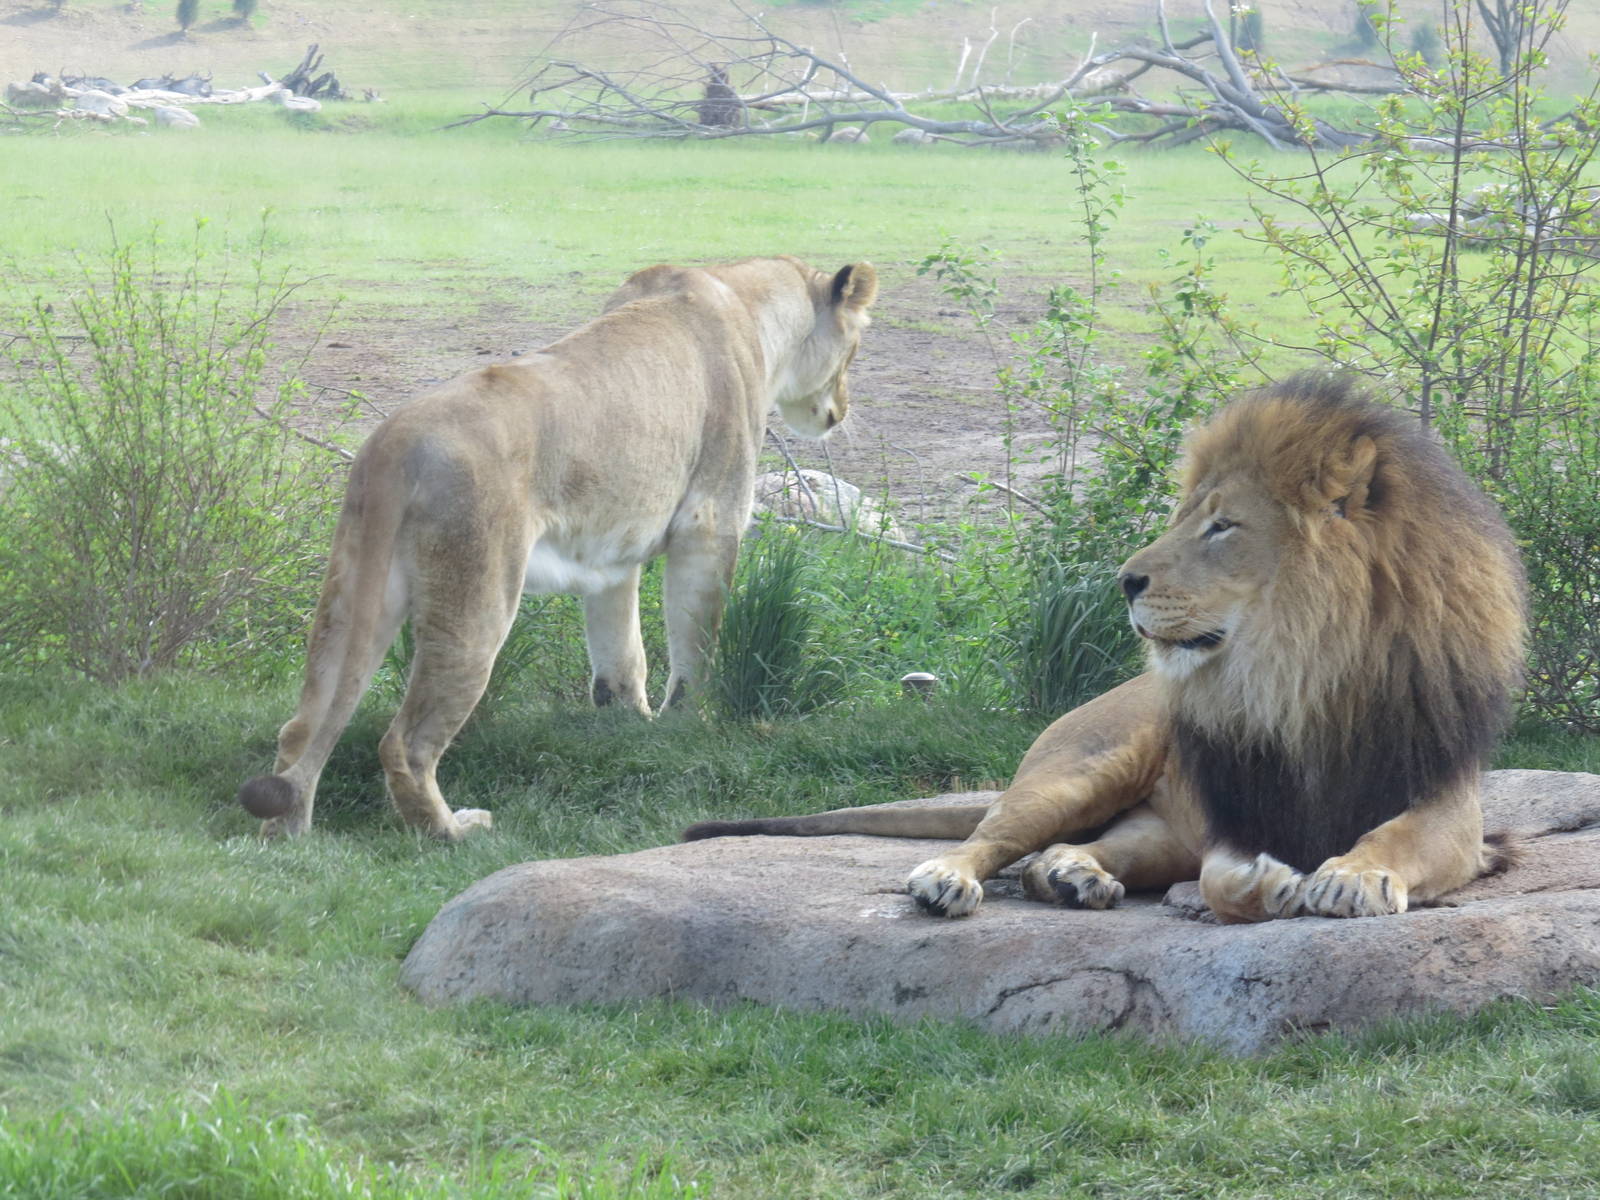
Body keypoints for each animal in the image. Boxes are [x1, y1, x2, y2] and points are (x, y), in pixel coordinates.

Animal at [239, 256, 878, 839]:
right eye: (853, 349)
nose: (841, 410)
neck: (752, 303)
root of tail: (395, 442)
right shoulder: (710, 523)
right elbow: (696, 647)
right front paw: (686, 726)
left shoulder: (613, 555)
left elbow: (622, 655)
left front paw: (631, 725)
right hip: (478, 599)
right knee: (405, 744)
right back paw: (455, 830)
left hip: (353, 591)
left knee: (305, 726)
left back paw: (288, 838)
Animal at [684, 377, 1526, 922]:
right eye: (1186, 516)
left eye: (1222, 526)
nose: (1124, 580)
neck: (1303, 673)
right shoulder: (1231, 817)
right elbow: (1224, 879)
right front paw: (1269, 887)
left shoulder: (1448, 803)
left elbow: (1396, 836)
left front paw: (1353, 876)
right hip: (1085, 768)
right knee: (997, 837)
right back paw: (952, 880)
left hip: (1154, 826)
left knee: (1074, 853)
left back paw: (1072, 876)